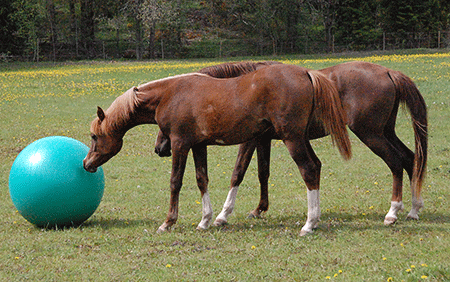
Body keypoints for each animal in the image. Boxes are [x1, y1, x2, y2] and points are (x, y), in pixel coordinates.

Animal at [84, 62, 352, 235]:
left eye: (95, 136)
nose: (86, 164)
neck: (170, 94)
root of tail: (306, 72)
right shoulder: (198, 145)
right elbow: (202, 180)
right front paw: (205, 220)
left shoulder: (180, 144)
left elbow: (175, 182)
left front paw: (168, 222)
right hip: (300, 138)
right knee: (316, 166)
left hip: (292, 139)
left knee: (308, 170)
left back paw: (309, 224)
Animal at [156, 60, 428, 230]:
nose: (160, 148)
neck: (245, 88)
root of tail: (388, 72)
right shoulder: (263, 139)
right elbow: (263, 172)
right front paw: (259, 209)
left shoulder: (250, 140)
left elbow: (238, 172)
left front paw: (223, 216)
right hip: (385, 132)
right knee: (410, 158)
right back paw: (414, 210)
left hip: (371, 134)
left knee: (396, 163)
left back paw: (392, 213)